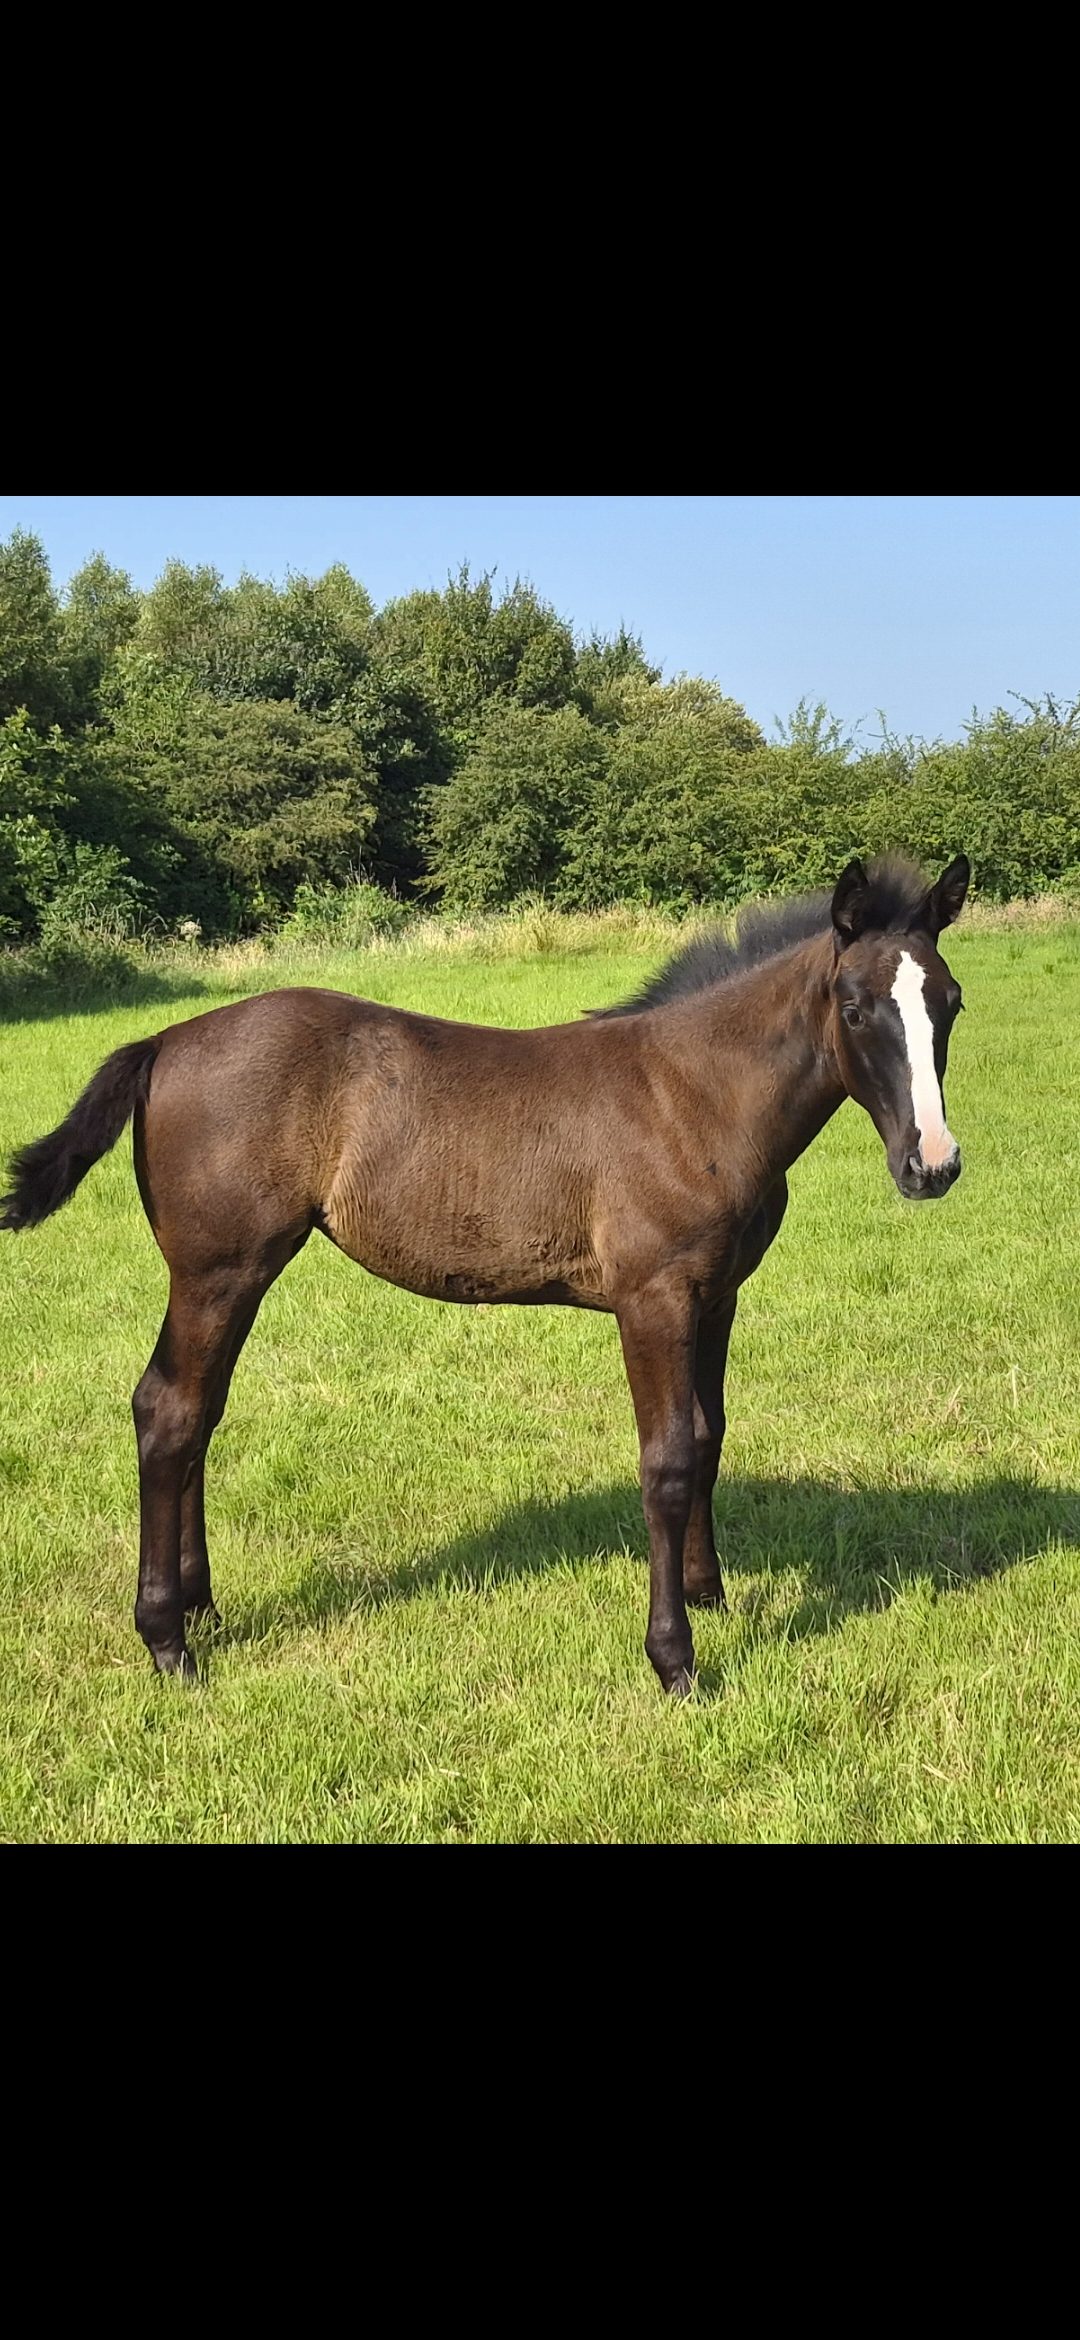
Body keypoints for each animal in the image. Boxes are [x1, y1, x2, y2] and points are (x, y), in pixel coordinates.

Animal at [1, 851, 970, 1695]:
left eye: (951, 1004)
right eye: (854, 1007)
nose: (933, 1164)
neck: (693, 1096)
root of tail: (165, 1039)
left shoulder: (717, 1296)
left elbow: (709, 1435)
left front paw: (710, 1596)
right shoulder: (651, 1299)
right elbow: (666, 1463)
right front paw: (675, 1661)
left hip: (232, 1276)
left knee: (198, 1413)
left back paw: (201, 1610)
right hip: (218, 1270)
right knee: (168, 1411)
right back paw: (168, 1642)